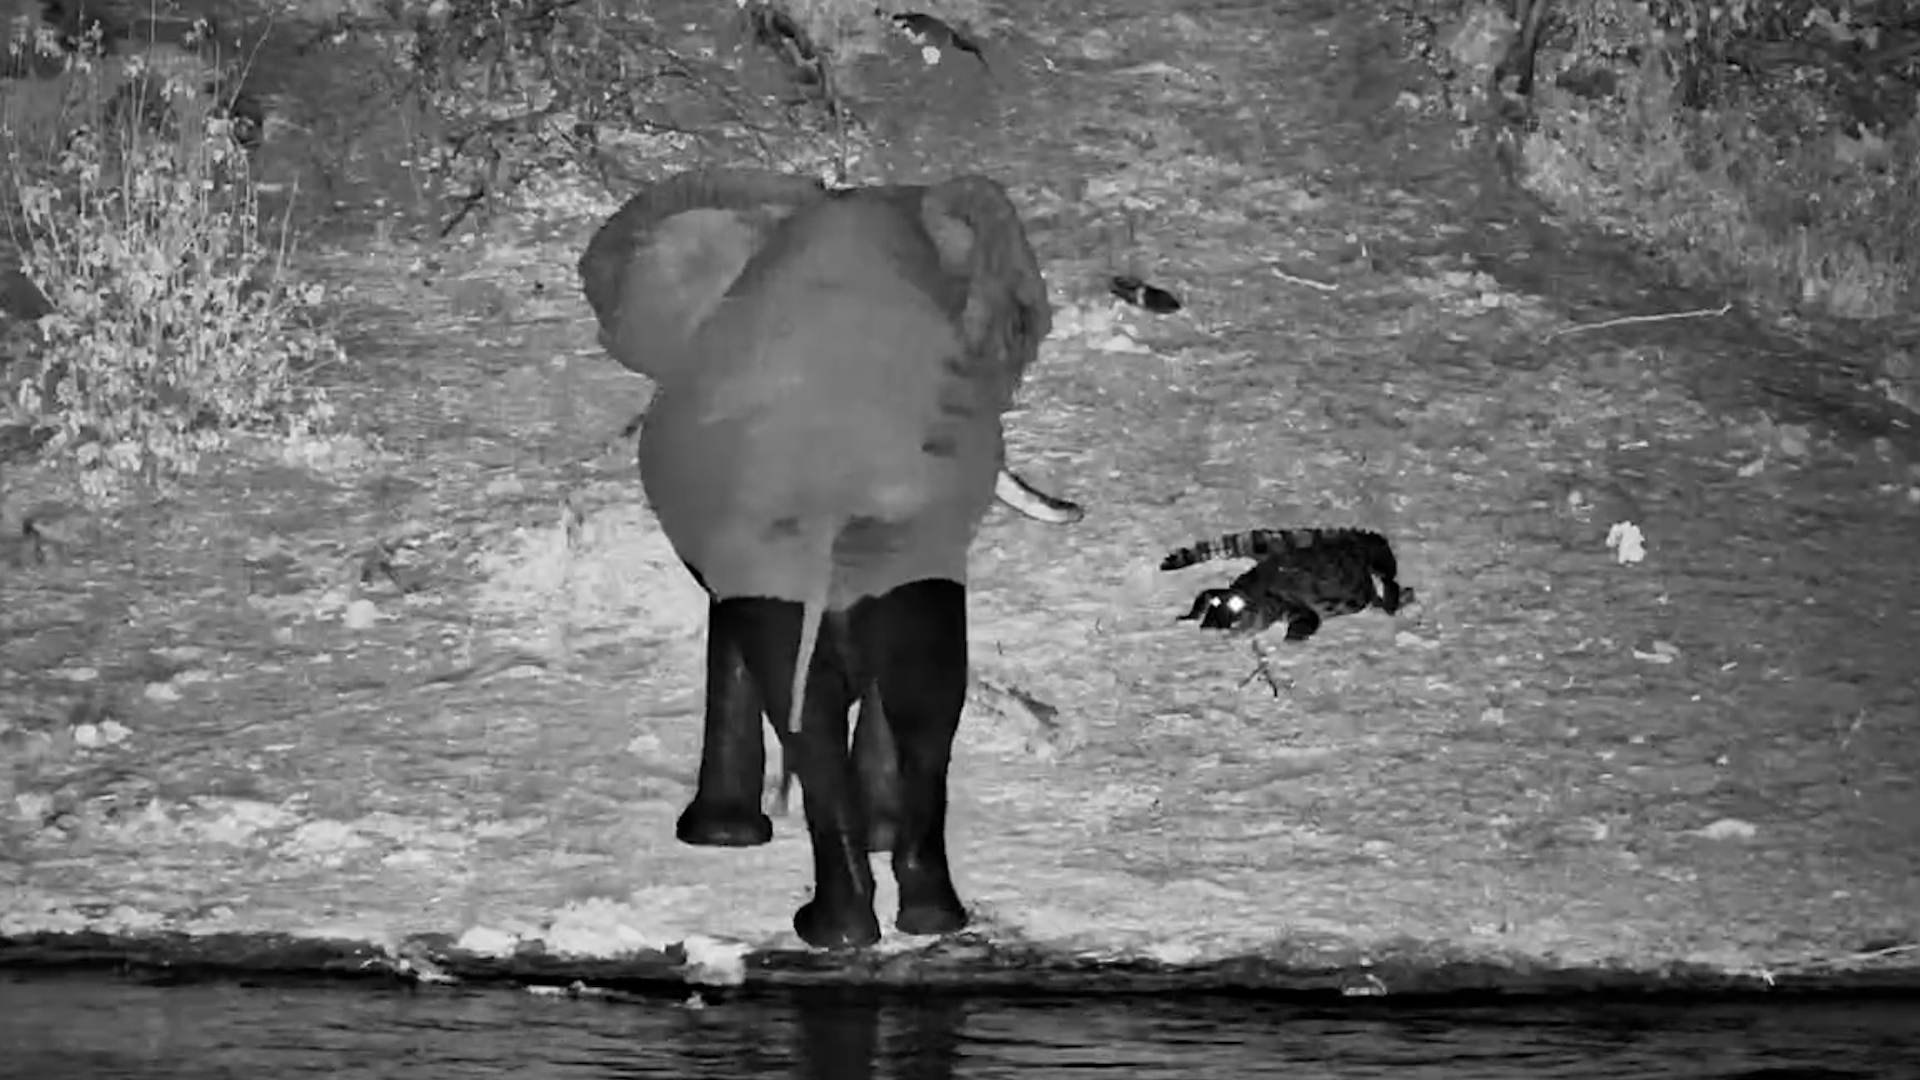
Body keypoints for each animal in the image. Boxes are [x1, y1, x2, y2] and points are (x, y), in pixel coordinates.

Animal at [577, 168, 1060, 949]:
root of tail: (838, 496)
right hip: (900, 546)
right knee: (926, 692)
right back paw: (926, 918)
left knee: (812, 712)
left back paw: (832, 928)